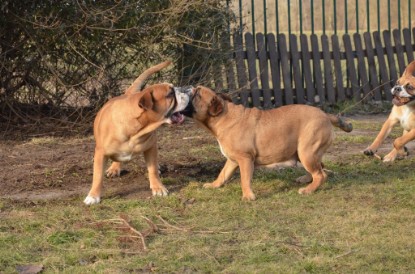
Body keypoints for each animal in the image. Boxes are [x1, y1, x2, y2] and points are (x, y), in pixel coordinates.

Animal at [85, 61, 195, 204]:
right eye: (170, 94)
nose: (187, 88)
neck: (136, 131)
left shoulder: (151, 147)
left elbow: (152, 169)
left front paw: (158, 188)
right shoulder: (100, 153)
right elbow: (97, 176)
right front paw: (93, 196)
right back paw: (114, 168)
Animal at [183, 85, 354, 199]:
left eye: (197, 94)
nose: (188, 87)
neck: (223, 116)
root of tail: (326, 115)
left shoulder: (245, 159)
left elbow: (245, 179)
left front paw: (248, 196)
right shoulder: (232, 160)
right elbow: (223, 174)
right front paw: (214, 185)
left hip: (307, 152)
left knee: (320, 174)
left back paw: (308, 190)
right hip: (303, 152)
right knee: (321, 168)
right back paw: (306, 180)